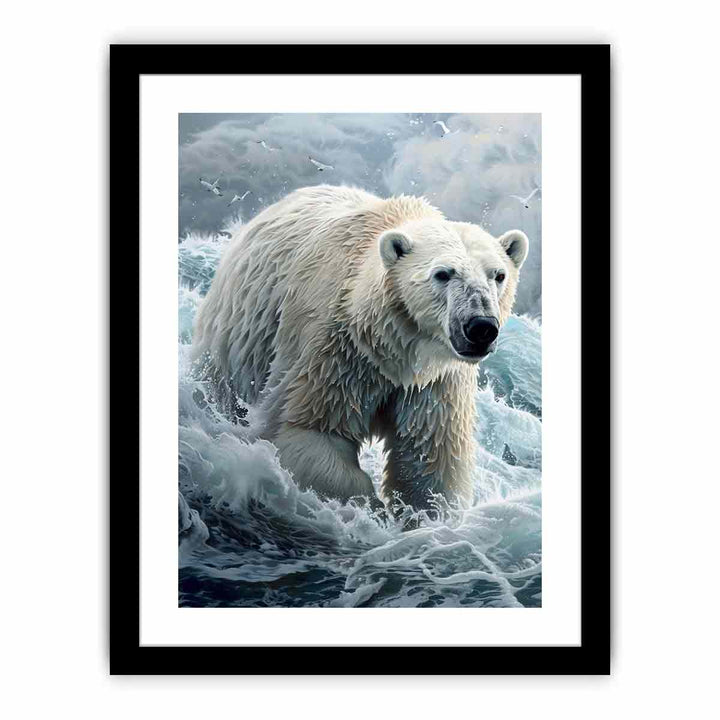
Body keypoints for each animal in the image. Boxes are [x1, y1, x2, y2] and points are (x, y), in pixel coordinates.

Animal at [192, 185, 529, 511]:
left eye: (498, 275)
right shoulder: (336, 352)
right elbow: (310, 431)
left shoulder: (436, 382)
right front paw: (371, 509)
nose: (481, 327)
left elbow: (431, 462)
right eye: (443, 273)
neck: (394, 348)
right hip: (240, 334)